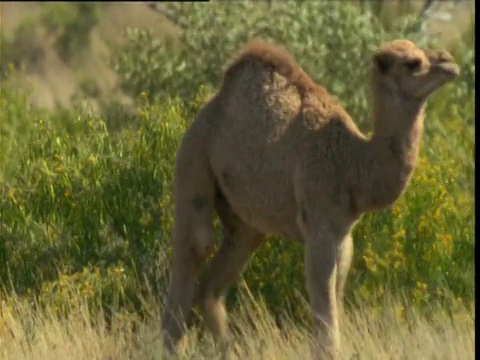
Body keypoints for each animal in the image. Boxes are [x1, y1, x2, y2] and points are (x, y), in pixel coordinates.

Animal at [160, 38, 458, 358]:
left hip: (244, 223)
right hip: (192, 160)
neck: (352, 163)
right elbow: (324, 309)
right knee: (195, 245)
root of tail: (207, 111)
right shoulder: (319, 228)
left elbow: (336, 297)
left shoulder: (344, 235)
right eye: (412, 63)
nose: (449, 62)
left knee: (217, 275)